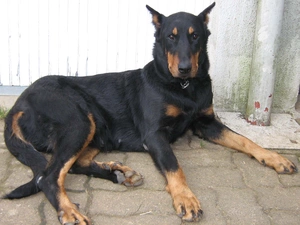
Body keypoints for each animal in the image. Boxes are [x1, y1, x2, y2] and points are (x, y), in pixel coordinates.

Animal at [2, 2, 298, 224]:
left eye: (195, 36)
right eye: (171, 36)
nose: (184, 68)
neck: (183, 88)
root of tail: (18, 105)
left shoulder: (207, 123)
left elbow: (246, 140)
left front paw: (275, 158)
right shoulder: (154, 134)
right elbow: (174, 165)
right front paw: (185, 198)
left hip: (95, 128)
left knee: (74, 164)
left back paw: (117, 171)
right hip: (79, 121)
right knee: (49, 176)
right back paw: (71, 210)